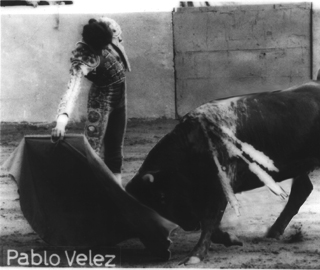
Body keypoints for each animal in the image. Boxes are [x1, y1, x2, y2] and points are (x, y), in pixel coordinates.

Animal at [125, 79, 320, 264]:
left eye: (162, 197)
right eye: (153, 203)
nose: (189, 225)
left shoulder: (221, 184)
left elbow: (210, 219)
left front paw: (195, 256)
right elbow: (209, 221)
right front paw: (230, 239)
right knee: (303, 188)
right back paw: (274, 231)